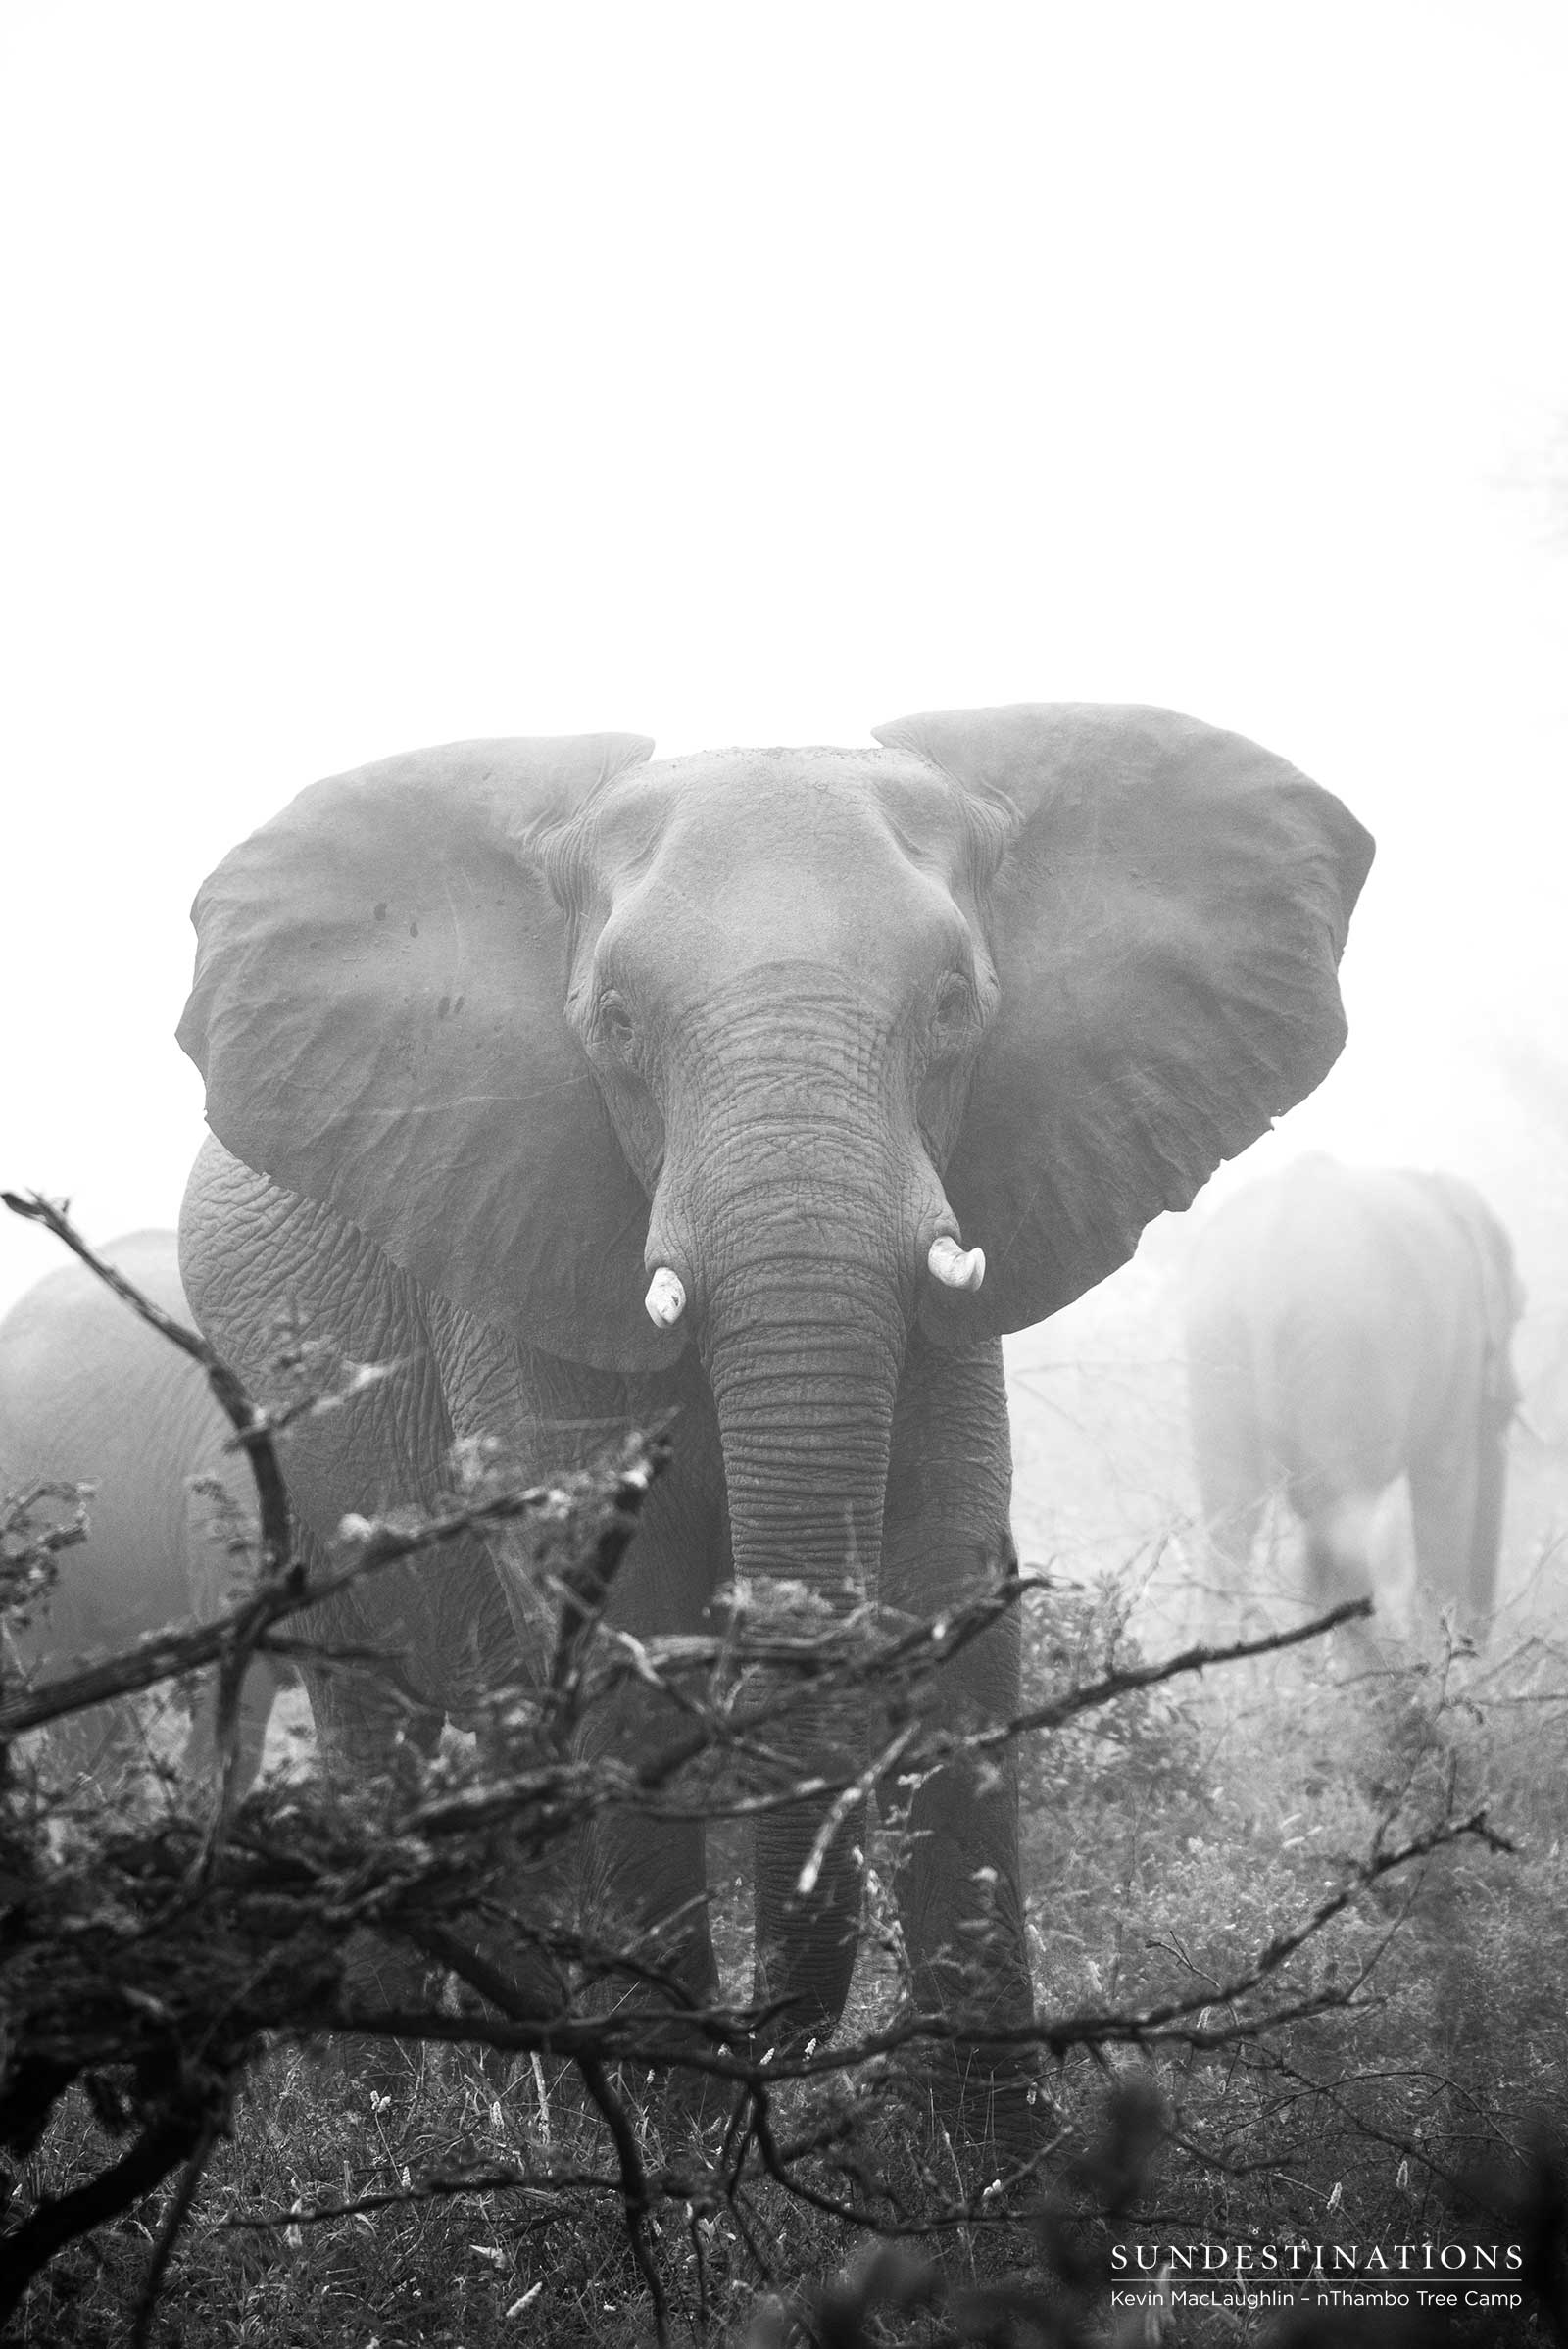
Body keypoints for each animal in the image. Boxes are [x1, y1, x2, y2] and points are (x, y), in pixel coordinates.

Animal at [175, 703, 1371, 2144]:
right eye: (616, 1022)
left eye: (954, 1005)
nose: (774, 2049)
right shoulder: (516, 1248)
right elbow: (615, 1605)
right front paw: (675, 2143)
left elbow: (941, 1584)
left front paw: (979, 2148)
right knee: (376, 1719)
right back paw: (399, 2087)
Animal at [1183, 1155, 1523, 1637]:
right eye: (1519, 1313)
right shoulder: (1459, 1350)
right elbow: (1445, 1490)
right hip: (1345, 1345)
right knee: (1343, 1519)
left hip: (1217, 1342)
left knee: (1234, 1514)